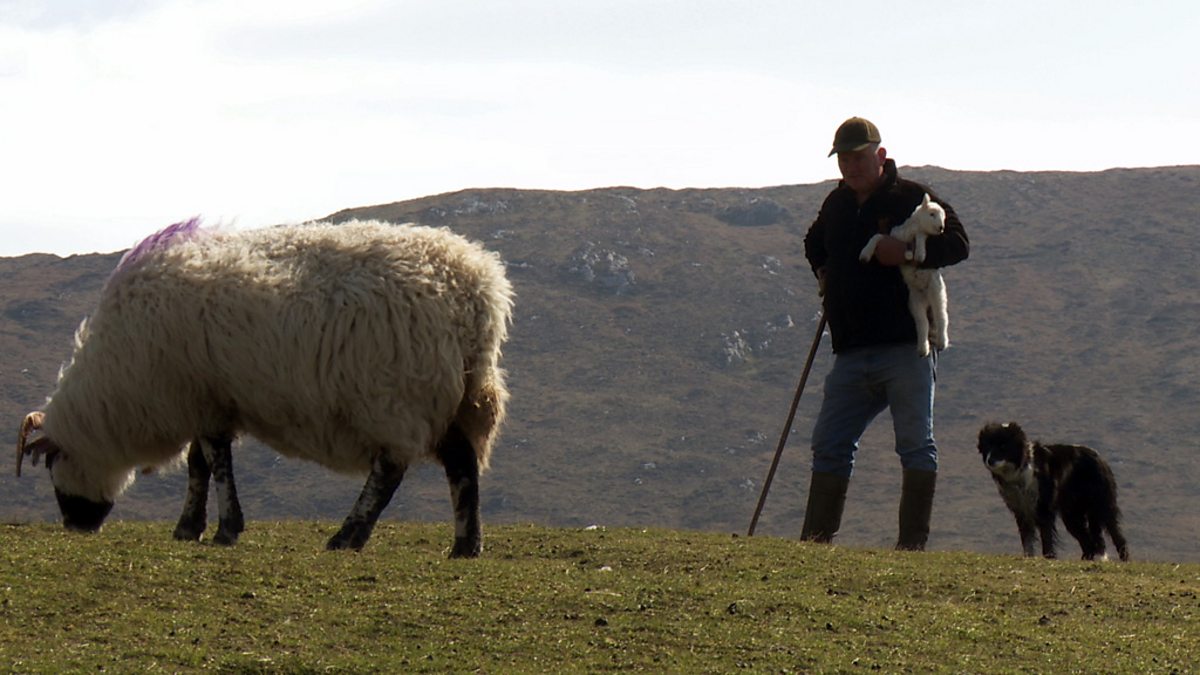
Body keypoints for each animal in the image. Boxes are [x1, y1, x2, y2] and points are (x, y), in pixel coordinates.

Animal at [15, 218, 511, 554]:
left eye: (53, 465)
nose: (76, 526)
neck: (116, 387)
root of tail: (477, 288)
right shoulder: (209, 398)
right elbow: (199, 463)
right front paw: (190, 527)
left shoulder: (199, 395)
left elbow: (215, 462)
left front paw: (223, 529)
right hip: (455, 395)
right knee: (463, 464)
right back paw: (465, 545)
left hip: (397, 395)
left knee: (390, 472)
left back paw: (348, 535)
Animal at [859, 192, 950, 355]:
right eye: (932, 214)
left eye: (944, 217)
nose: (941, 228)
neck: (911, 230)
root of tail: (925, 296)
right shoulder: (893, 236)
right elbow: (877, 236)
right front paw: (865, 254)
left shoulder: (920, 235)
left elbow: (921, 235)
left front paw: (920, 254)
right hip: (914, 301)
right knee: (922, 323)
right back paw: (922, 349)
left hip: (937, 291)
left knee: (941, 317)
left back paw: (941, 343)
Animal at [979, 420, 1128, 557]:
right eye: (987, 446)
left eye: (1003, 446)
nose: (989, 461)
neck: (1021, 469)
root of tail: (1100, 458)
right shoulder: (1021, 511)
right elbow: (1027, 541)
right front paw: (1029, 558)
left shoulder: (1043, 509)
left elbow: (1046, 538)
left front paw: (1048, 558)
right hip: (1072, 514)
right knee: (1088, 544)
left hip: (1101, 506)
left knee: (1118, 537)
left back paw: (1124, 559)